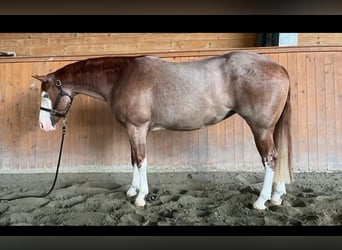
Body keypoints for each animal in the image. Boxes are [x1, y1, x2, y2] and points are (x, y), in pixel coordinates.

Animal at [33, 51, 292, 211]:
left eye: (46, 93)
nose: (43, 126)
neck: (122, 77)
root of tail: (279, 67)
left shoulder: (137, 128)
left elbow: (140, 159)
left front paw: (140, 197)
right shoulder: (134, 130)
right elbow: (133, 159)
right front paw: (132, 190)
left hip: (261, 128)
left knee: (270, 159)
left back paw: (261, 201)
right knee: (277, 158)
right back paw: (277, 196)